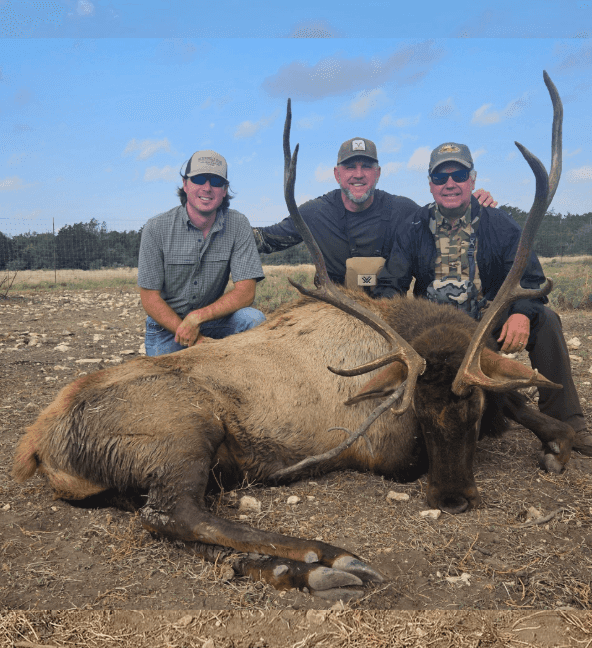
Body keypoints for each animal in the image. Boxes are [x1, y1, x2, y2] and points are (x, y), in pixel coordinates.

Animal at [12, 72, 573, 600]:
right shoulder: (386, 454)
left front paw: (561, 438)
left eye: (472, 407)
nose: (453, 499)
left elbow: (521, 403)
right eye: (418, 411)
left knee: (171, 525)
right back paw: (329, 557)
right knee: (173, 514)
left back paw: (290, 569)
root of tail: (38, 443)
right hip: (182, 431)